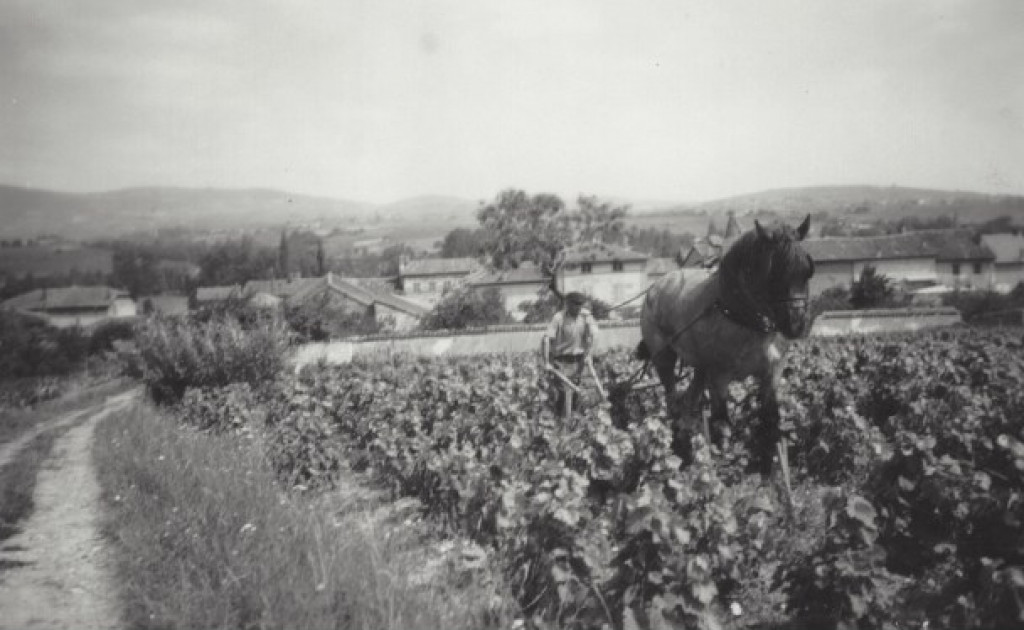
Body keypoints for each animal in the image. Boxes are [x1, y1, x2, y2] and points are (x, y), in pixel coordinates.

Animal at [638, 217, 815, 501]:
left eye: (808, 270)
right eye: (775, 271)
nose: (796, 326)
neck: (743, 315)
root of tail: (657, 286)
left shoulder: (771, 374)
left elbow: (770, 421)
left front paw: (769, 479)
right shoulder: (720, 377)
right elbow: (722, 425)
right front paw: (721, 479)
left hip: (700, 369)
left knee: (688, 404)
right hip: (664, 359)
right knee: (673, 403)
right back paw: (676, 454)